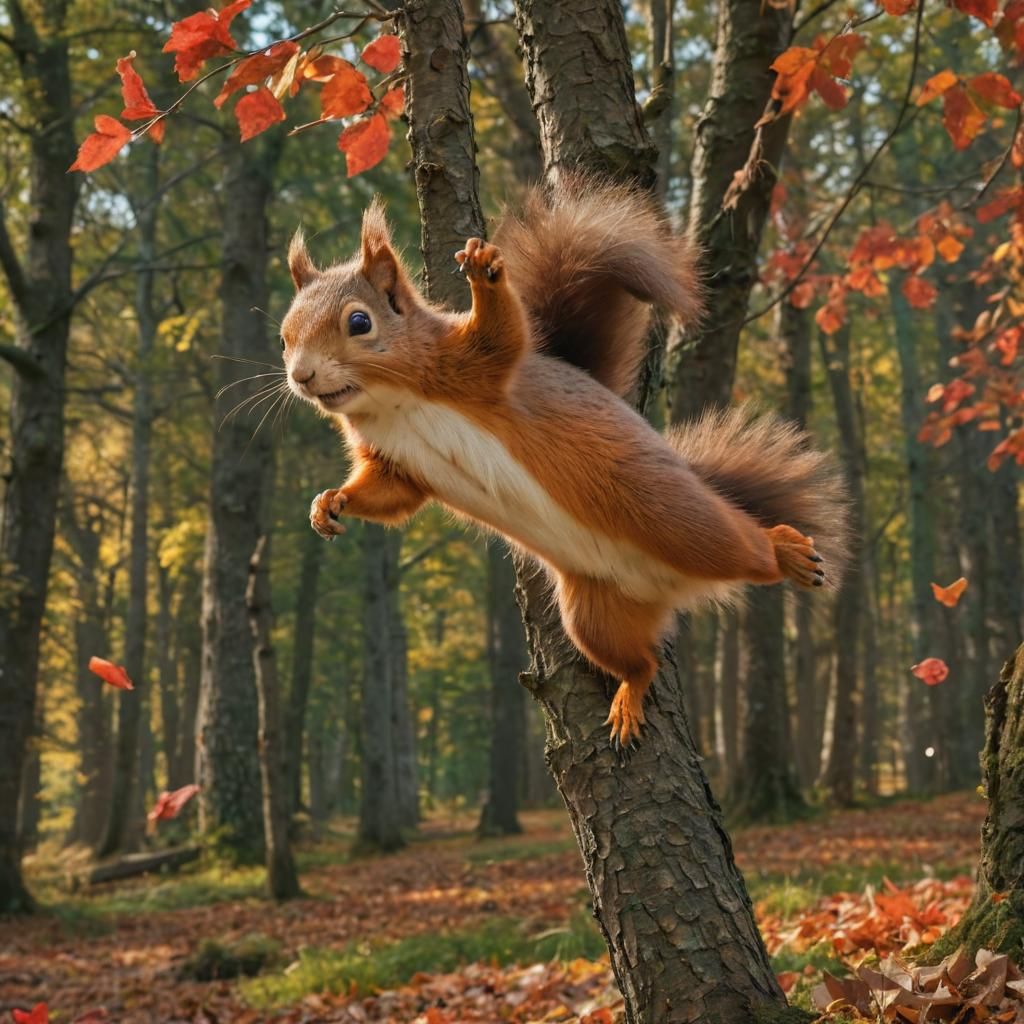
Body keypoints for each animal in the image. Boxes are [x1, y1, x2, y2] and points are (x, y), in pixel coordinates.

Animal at [281, 176, 848, 748]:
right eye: (284, 335)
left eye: (359, 321)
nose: (301, 376)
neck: (389, 402)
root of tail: (667, 586)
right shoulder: (396, 464)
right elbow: (390, 495)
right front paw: (328, 503)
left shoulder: (472, 361)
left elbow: (506, 333)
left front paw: (483, 270)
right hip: (591, 615)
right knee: (640, 663)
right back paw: (628, 699)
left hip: (680, 521)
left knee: (743, 545)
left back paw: (788, 551)